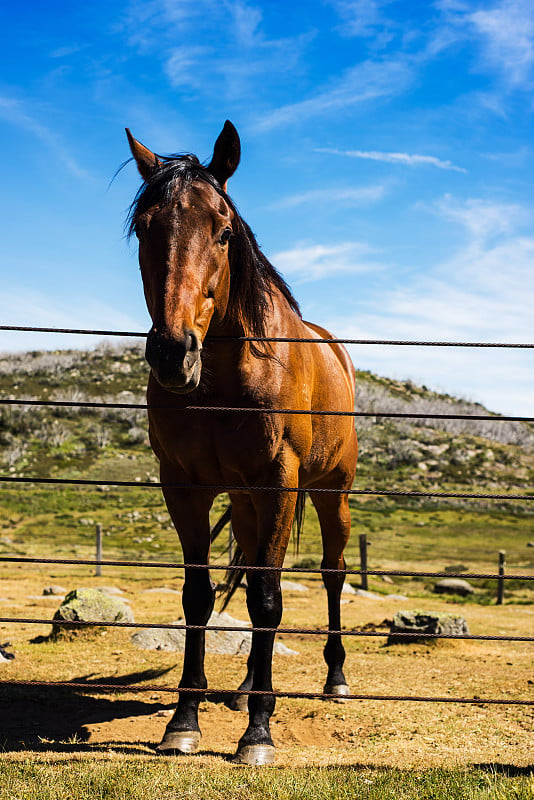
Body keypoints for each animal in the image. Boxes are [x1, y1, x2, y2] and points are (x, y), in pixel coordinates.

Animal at [126, 122, 360, 764]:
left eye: (224, 231)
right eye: (144, 228)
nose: (172, 353)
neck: (225, 378)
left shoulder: (279, 482)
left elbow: (268, 601)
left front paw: (258, 732)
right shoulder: (185, 486)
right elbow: (199, 597)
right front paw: (183, 720)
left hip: (329, 494)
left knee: (331, 574)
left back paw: (334, 678)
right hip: (248, 503)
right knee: (253, 570)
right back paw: (245, 687)